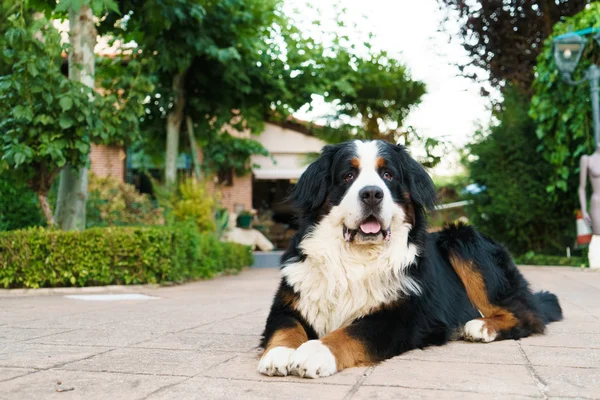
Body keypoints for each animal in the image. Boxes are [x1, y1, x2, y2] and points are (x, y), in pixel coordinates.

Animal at [258, 140, 564, 378]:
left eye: (388, 174)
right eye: (347, 175)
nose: (372, 193)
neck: (357, 258)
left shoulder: (404, 316)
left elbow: (354, 332)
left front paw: (315, 352)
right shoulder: (288, 301)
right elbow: (285, 327)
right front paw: (279, 354)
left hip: (462, 240)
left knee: (528, 315)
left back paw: (480, 326)